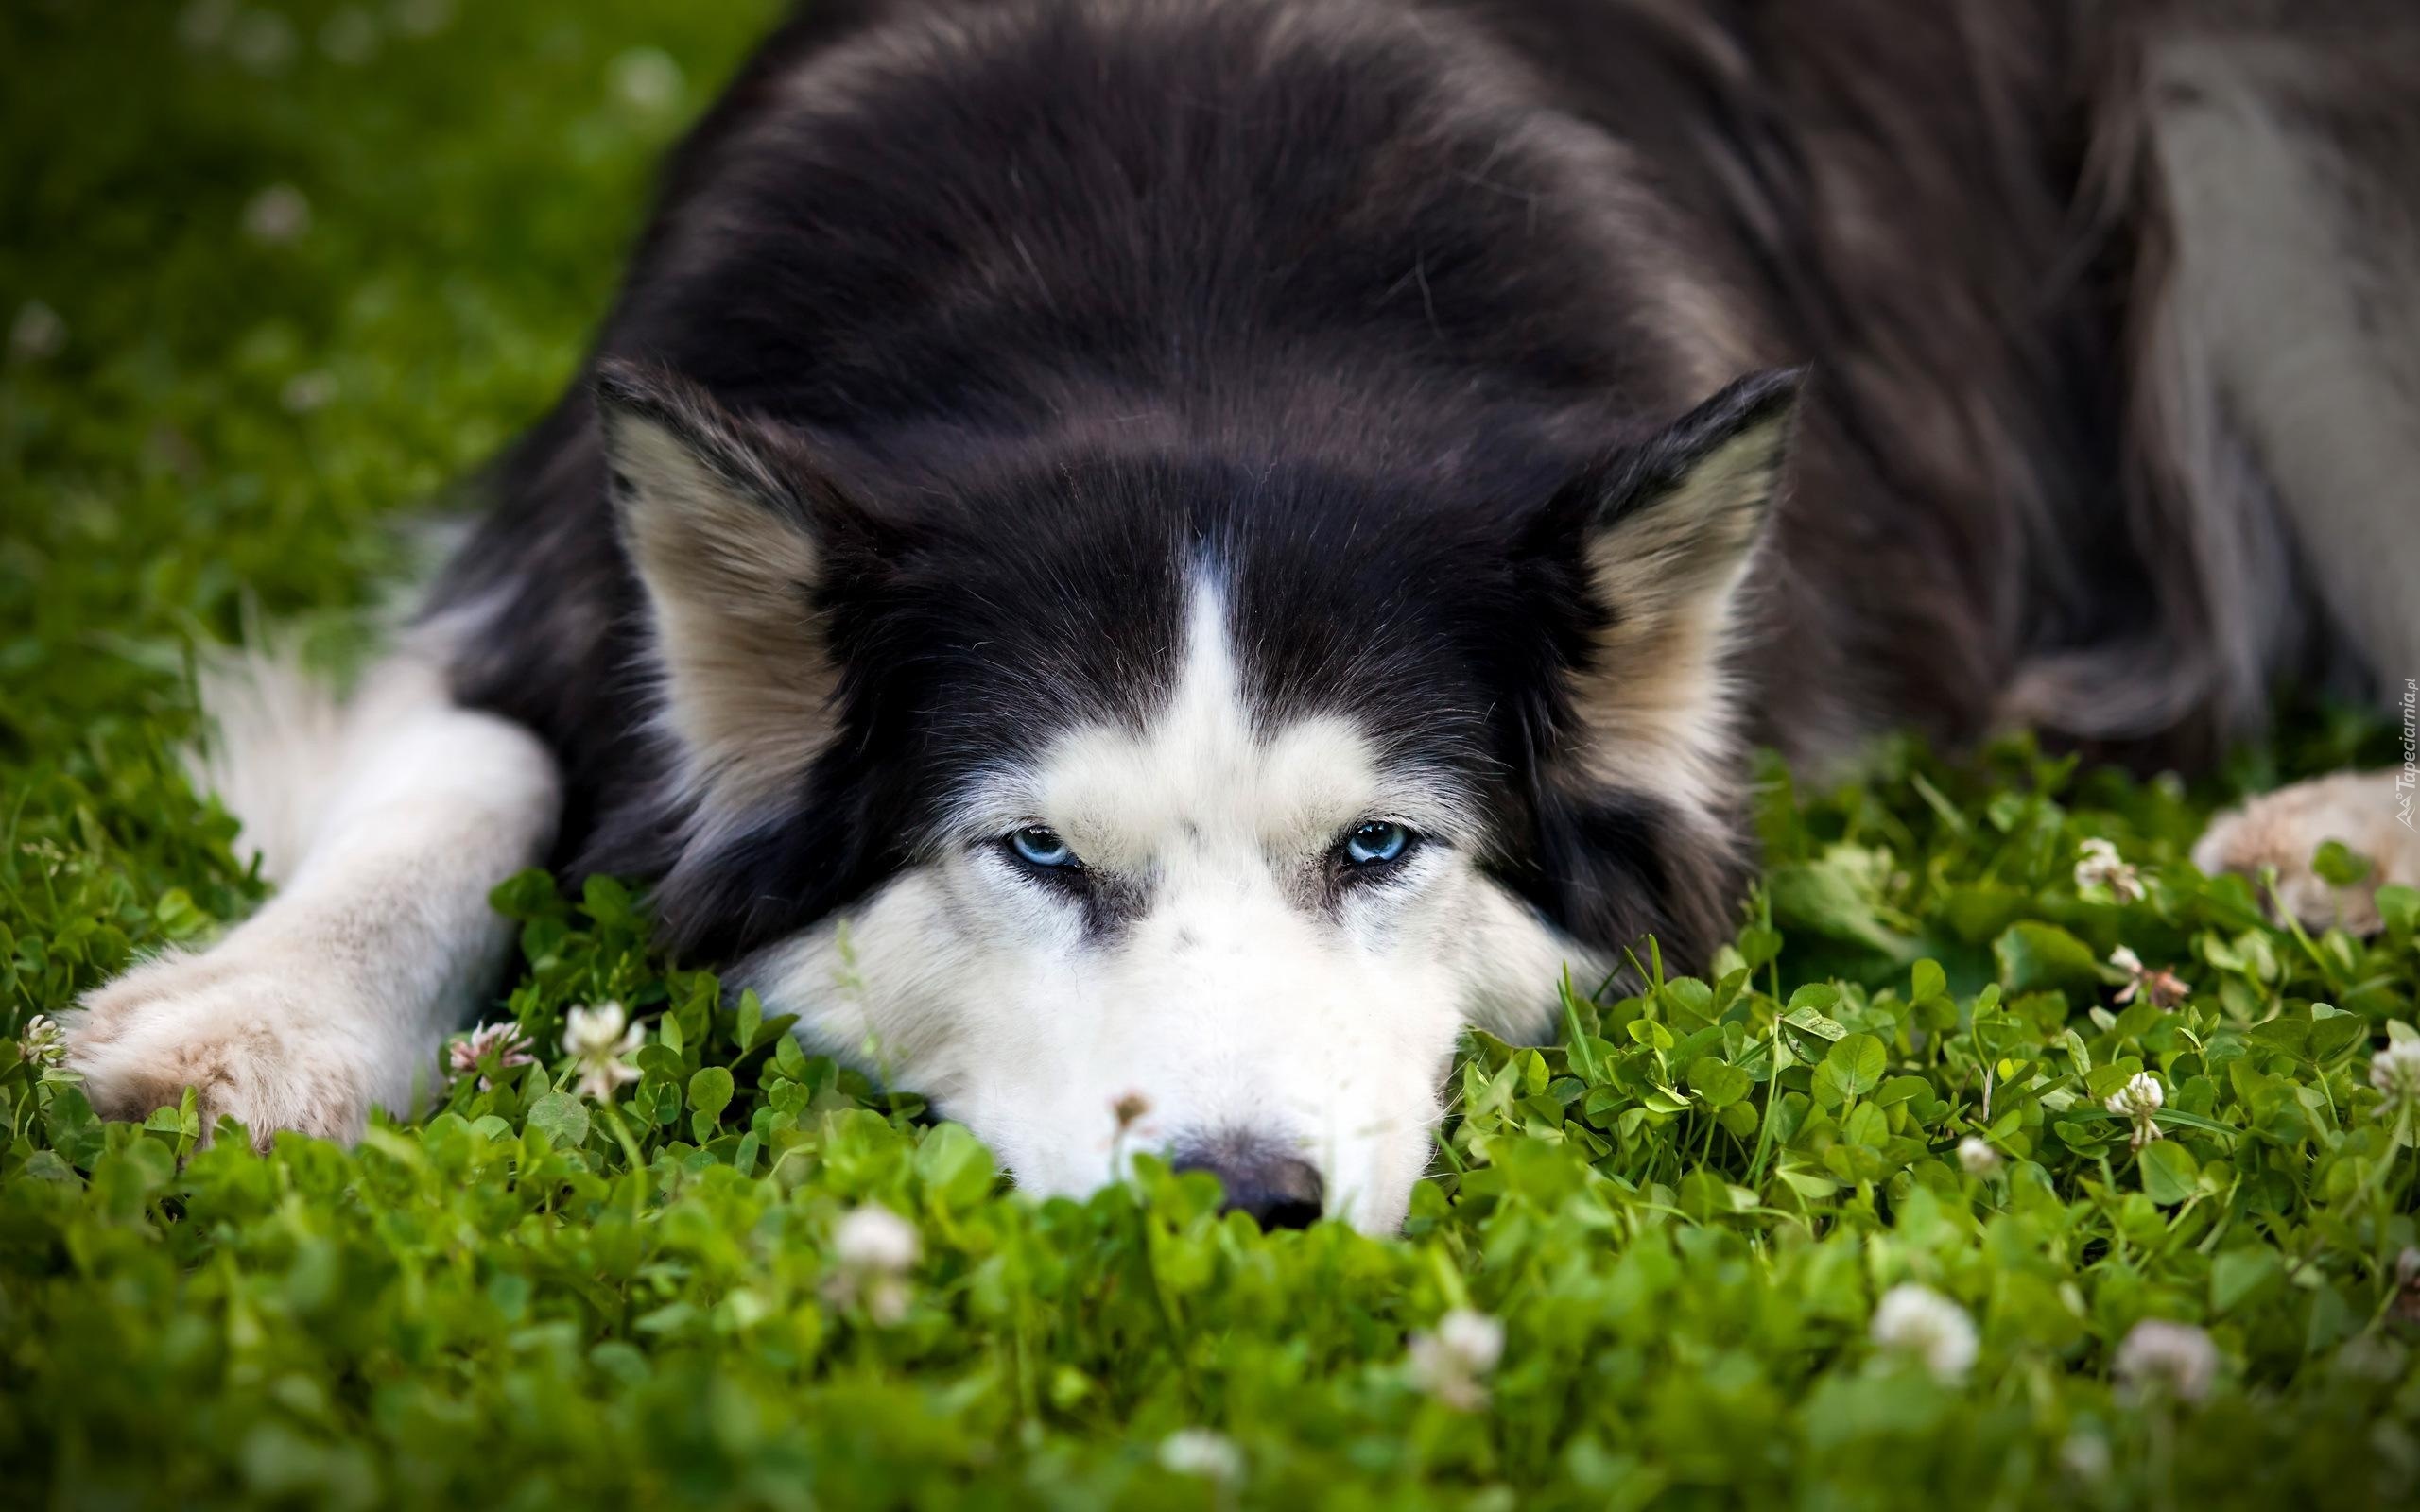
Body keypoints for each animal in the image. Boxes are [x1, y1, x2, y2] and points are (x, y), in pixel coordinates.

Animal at [66, 0, 2410, 1228]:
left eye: (1377, 848)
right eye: (1031, 852)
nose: (1239, 1195)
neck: (1183, 290)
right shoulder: (539, 550)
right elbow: (468, 762)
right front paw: (252, 1014)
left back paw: (2325, 839)